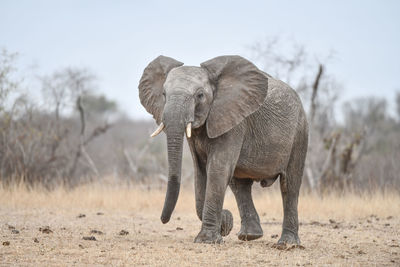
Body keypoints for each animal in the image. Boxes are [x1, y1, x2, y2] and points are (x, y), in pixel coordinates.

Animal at [138, 54, 310, 245]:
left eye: (200, 95)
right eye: (163, 94)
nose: (163, 220)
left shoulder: (234, 122)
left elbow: (217, 170)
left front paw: (207, 239)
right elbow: (200, 172)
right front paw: (224, 224)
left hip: (300, 132)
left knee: (290, 185)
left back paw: (287, 244)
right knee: (240, 185)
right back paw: (250, 236)